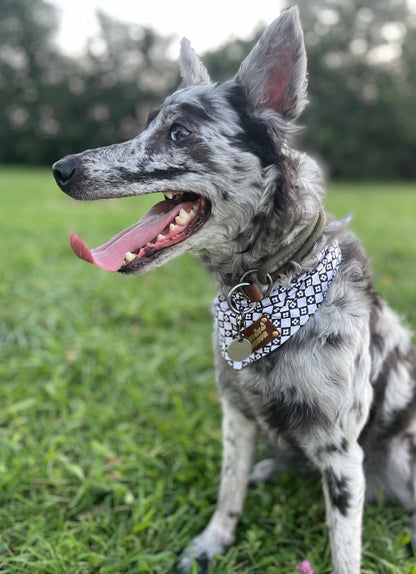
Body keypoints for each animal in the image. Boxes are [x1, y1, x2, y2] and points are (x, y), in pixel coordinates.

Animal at [52, 6, 416, 572]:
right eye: (146, 123)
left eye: (178, 132)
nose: (61, 169)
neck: (267, 291)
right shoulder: (237, 416)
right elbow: (228, 492)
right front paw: (212, 542)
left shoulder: (341, 454)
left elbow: (344, 549)